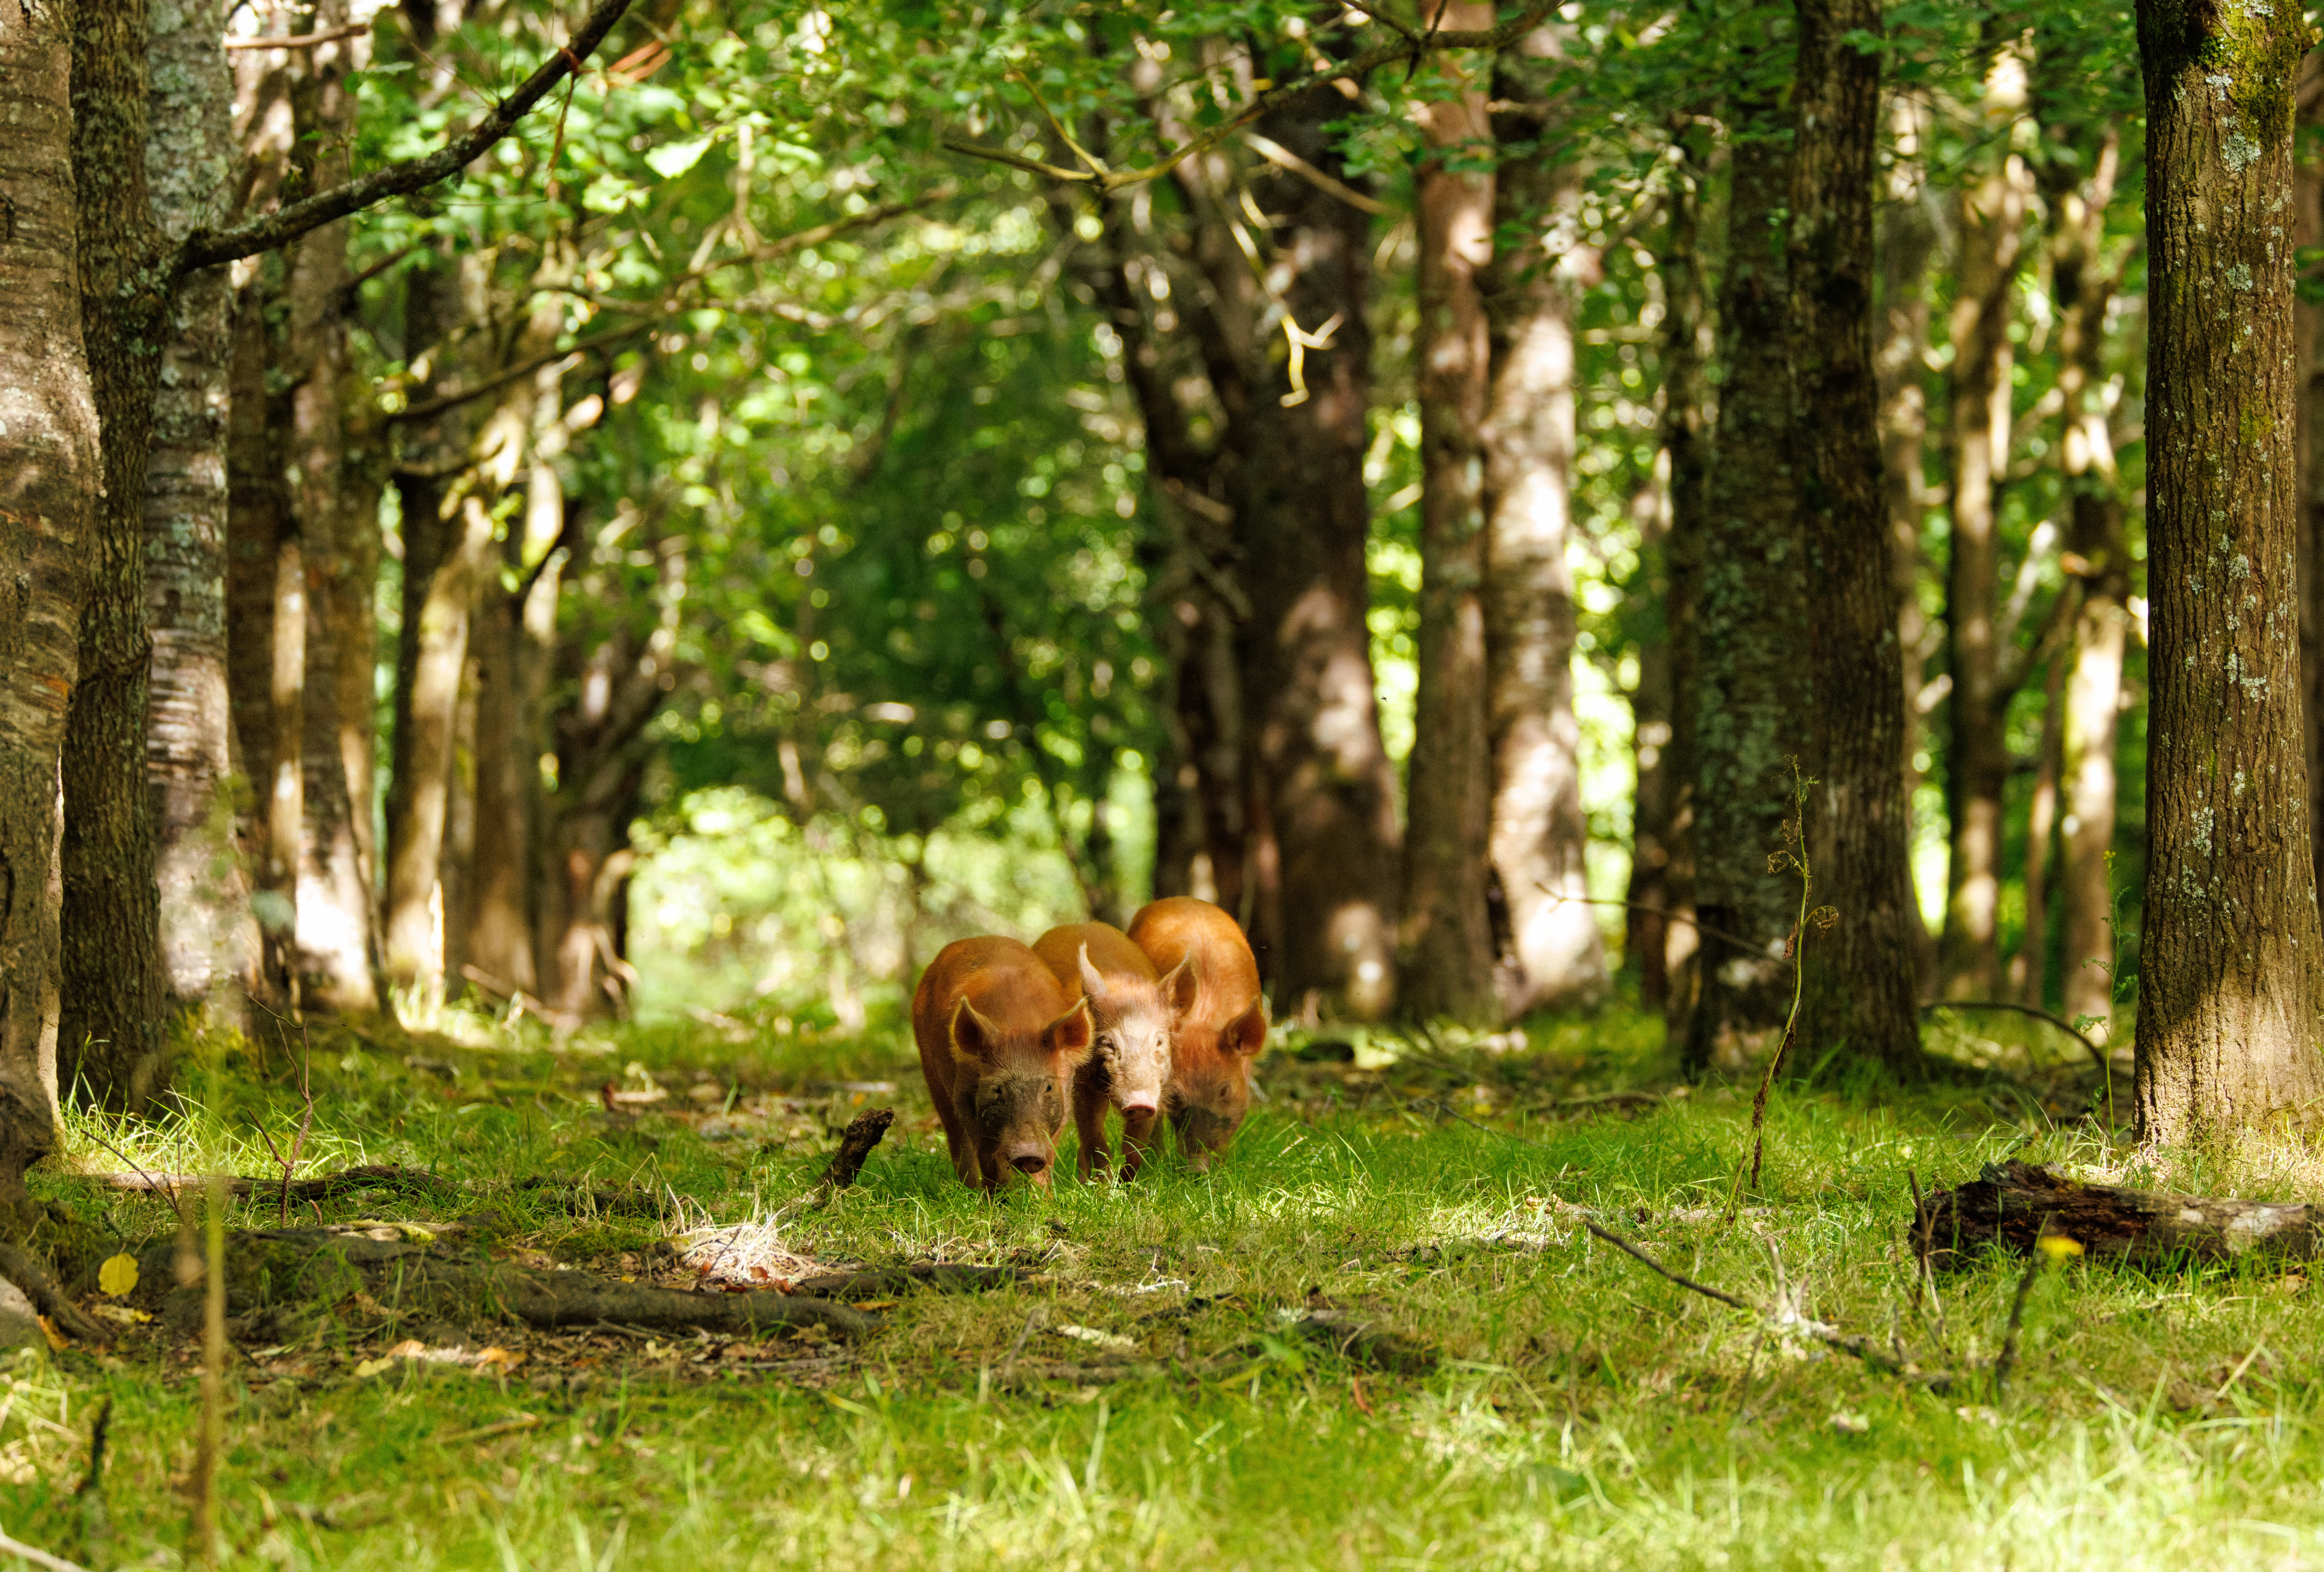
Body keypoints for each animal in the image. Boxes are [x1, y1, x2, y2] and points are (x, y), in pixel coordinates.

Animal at [912, 936, 1095, 1192]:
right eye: (998, 1089)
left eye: (1048, 1087)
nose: (1027, 1155)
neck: (1018, 1026)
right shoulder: (965, 1096)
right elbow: (987, 1157)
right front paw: (998, 1198)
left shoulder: (1065, 1099)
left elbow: (1048, 1159)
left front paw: (1044, 1200)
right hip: (931, 1070)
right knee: (958, 1143)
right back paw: (970, 1191)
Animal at [1032, 922, 1196, 1181]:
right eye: (1109, 1044)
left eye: (1159, 1042)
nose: (1139, 1102)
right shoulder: (1082, 1085)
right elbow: (1095, 1140)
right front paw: (1102, 1186)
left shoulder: (1156, 1091)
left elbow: (1134, 1149)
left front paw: (1132, 1186)